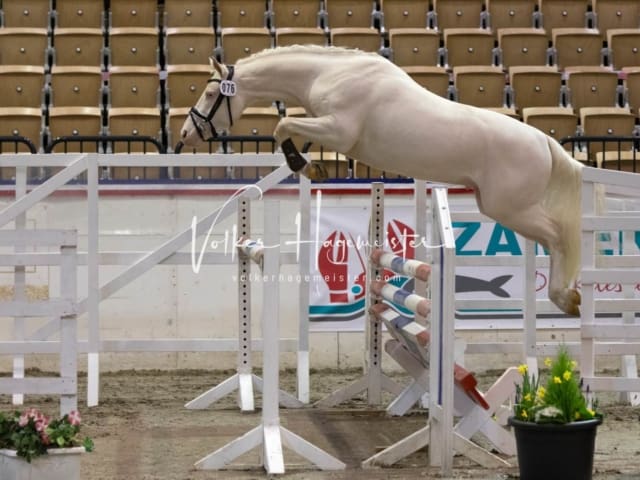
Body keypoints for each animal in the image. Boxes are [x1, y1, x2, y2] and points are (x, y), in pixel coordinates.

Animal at [180, 44, 584, 316]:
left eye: (212, 93)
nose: (185, 134)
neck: (328, 73)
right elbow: (288, 127)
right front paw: (311, 166)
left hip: (511, 208)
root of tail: (545, 142)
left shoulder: (338, 131)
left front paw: (307, 167)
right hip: (499, 207)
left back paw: (566, 297)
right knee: (555, 239)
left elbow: (283, 126)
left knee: (559, 236)